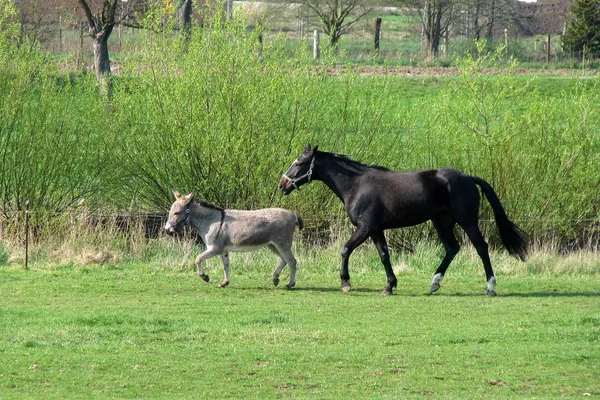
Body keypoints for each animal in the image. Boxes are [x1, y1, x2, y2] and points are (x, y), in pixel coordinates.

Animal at [278, 145, 524, 296]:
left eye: (299, 163)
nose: (282, 185)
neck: (357, 185)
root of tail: (468, 178)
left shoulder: (365, 227)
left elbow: (346, 249)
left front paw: (346, 283)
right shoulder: (376, 230)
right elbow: (384, 255)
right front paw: (389, 285)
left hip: (468, 221)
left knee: (481, 248)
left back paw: (490, 286)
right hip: (442, 222)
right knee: (452, 249)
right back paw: (434, 283)